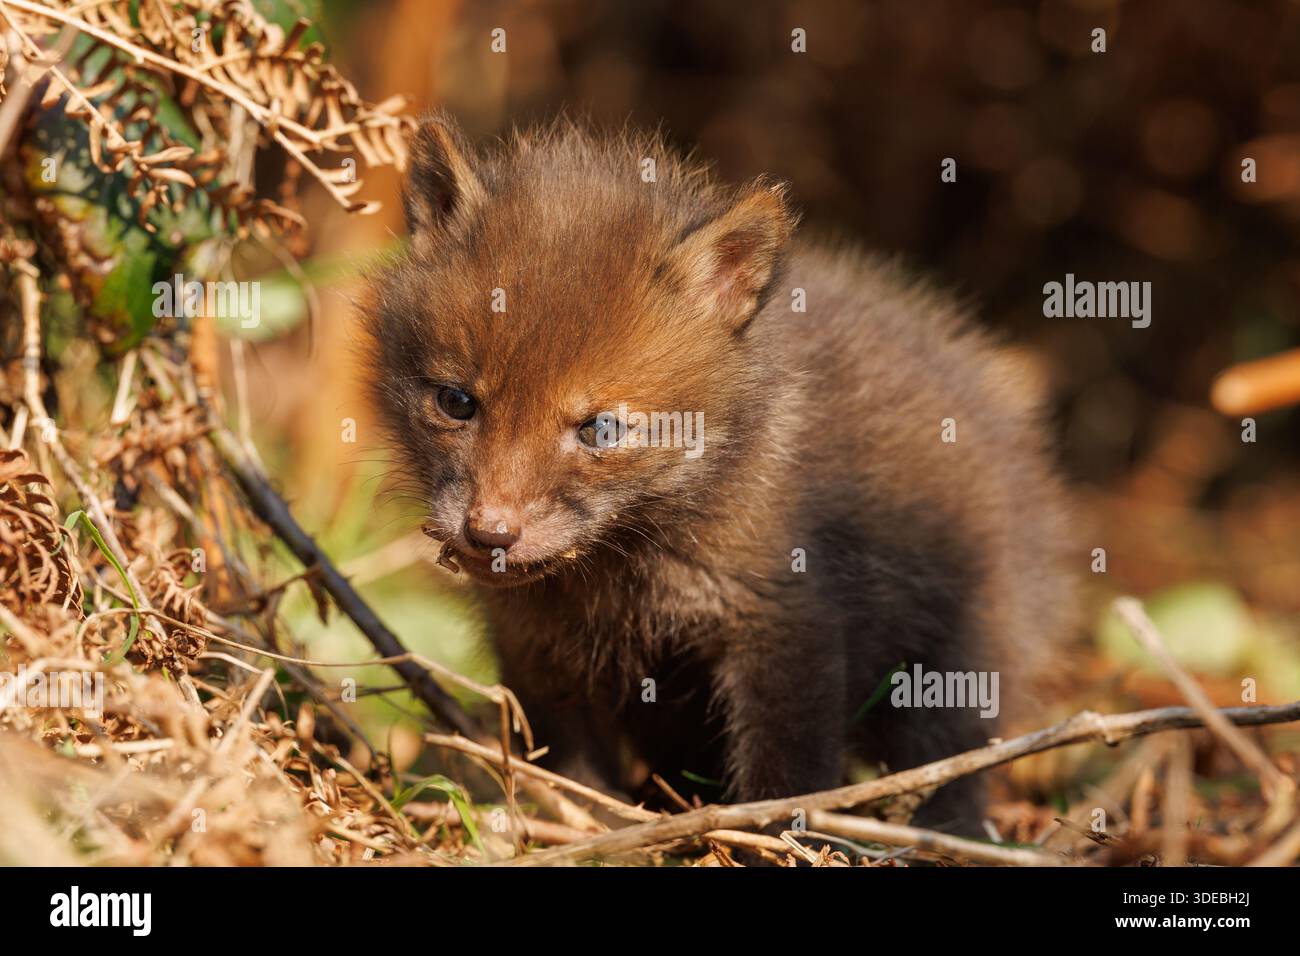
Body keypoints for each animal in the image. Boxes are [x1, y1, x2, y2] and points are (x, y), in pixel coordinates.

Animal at [362, 114, 1076, 832]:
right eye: (457, 402)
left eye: (601, 429)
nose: (490, 533)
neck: (626, 570)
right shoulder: (537, 647)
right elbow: (572, 770)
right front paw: (593, 828)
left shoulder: (785, 619)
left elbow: (786, 769)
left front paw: (768, 833)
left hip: (954, 656)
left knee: (954, 765)